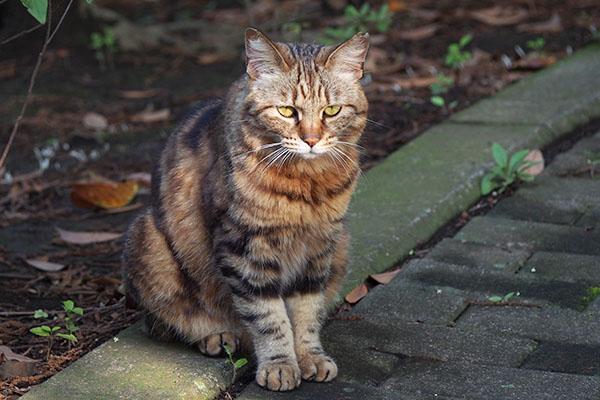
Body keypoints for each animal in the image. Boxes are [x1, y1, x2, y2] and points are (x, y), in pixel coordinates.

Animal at [120, 28, 366, 390]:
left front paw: (310, 356)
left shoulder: (319, 247)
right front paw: (280, 365)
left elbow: (307, 311)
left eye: (332, 110)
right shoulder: (243, 246)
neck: (306, 186)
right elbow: (267, 315)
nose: (311, 140)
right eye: (286, 111)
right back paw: (217, 335)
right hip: (146, 239)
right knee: (169, 323)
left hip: (344, 242)